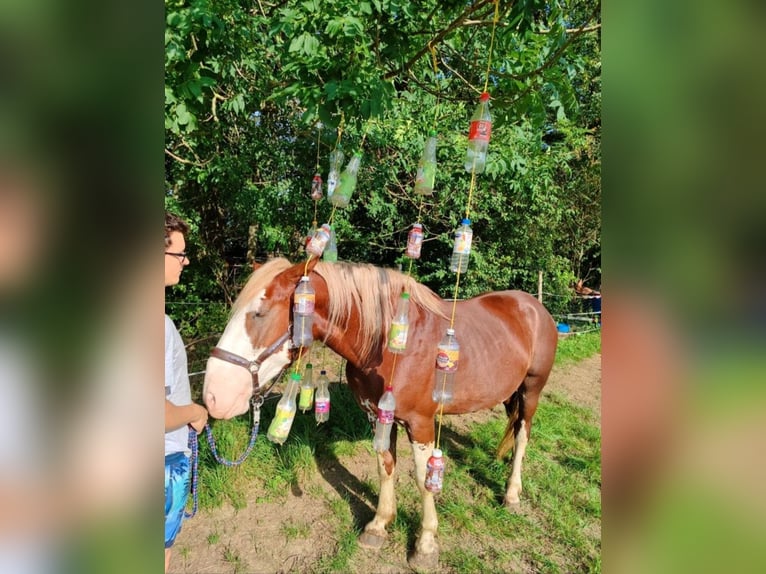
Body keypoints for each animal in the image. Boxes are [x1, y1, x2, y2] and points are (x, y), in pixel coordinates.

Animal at [206, 258, 560, 572]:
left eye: (259, 313)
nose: (213, 395)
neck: (390, 346)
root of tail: (534, 306)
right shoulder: (378, 417)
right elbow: (385, 466)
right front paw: (378, 526)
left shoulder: (420, 423)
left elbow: (422, 480)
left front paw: (425, 545)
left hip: (531, 390)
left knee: (523, 435)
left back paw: (511, 493)